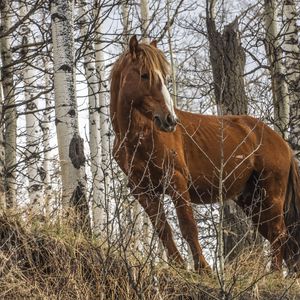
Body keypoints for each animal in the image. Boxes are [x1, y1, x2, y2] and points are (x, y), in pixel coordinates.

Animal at [109, 35, 300, 274]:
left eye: (164, 76)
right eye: (144, 75)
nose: (170, 120)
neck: (139, 136)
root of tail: (282, 144)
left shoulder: (176, 181)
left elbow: (188, 227)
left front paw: (203, 269)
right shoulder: (142, 190)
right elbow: (163, 229)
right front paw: (179, 266)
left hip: (270, 195)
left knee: (279, 234)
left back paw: (273, 275)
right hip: (251, 200)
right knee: (278, 236)